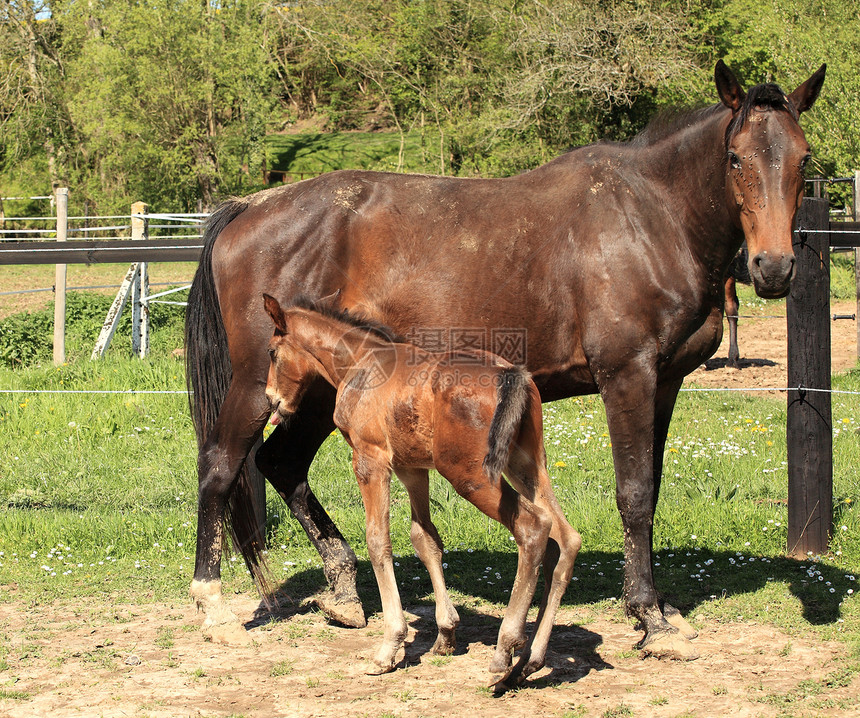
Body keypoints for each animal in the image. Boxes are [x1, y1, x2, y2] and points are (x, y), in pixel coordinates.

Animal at [264, 296, 584, 684]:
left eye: (272, 353)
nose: (272, 400)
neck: (361, 362)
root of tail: (511, 374)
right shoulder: (412, 468)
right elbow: (425, 538)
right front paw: (446, 634)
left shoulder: (370, 460)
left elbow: (378, 541)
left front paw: (389, 646)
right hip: (526, 465)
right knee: (566, 538)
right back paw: (532, 659)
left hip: (472, 476)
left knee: (534, 527)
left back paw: (504, 651)